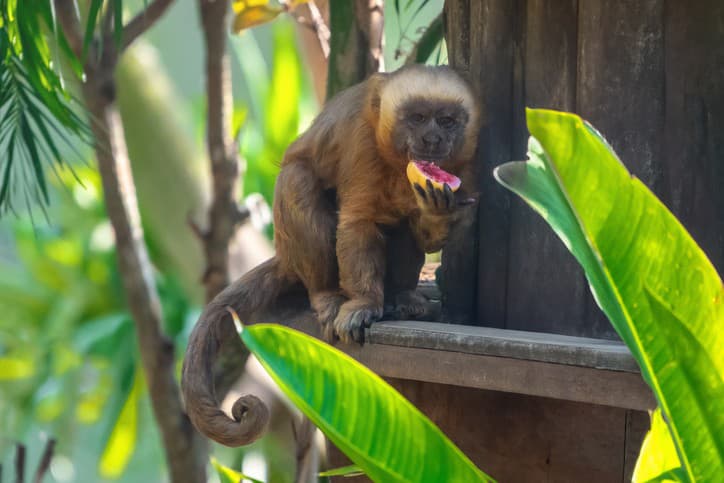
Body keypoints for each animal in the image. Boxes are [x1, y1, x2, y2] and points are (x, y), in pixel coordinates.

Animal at [181, 63, 480, 446]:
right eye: (417, 118)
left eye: (446, 121)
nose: (432, 140)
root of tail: (285, 255)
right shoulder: (363, 141)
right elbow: (356, 222)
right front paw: (364, 303)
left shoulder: (465, 163)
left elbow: (425, 232)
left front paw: (437, 212)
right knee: (298, 180)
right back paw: (327, 295)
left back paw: (402, 297)